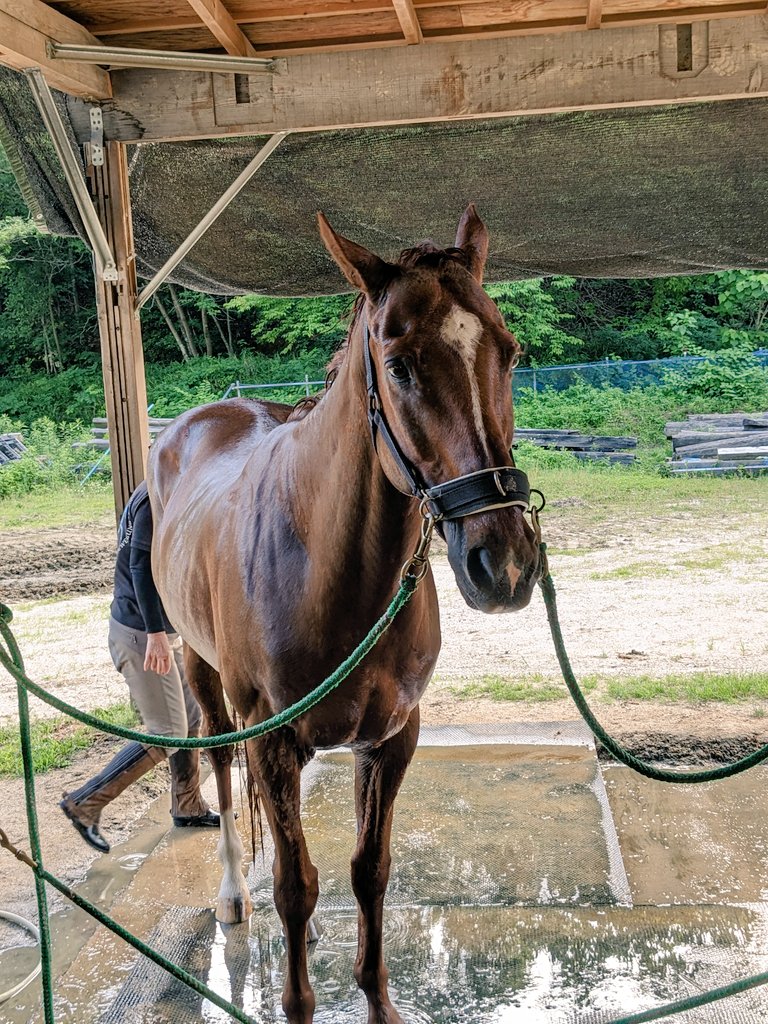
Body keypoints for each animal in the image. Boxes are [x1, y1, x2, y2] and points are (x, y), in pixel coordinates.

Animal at [148, 205, 540, 1024]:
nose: (506, 564)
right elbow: (296, 885)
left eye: (510, 351)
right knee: (221, 772)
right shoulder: (272, 743)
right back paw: (232, 893)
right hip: (204, 676)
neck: (329, 566)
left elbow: (369, 869)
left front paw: (377, 997)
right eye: (399, 366)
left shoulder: (389, 739)